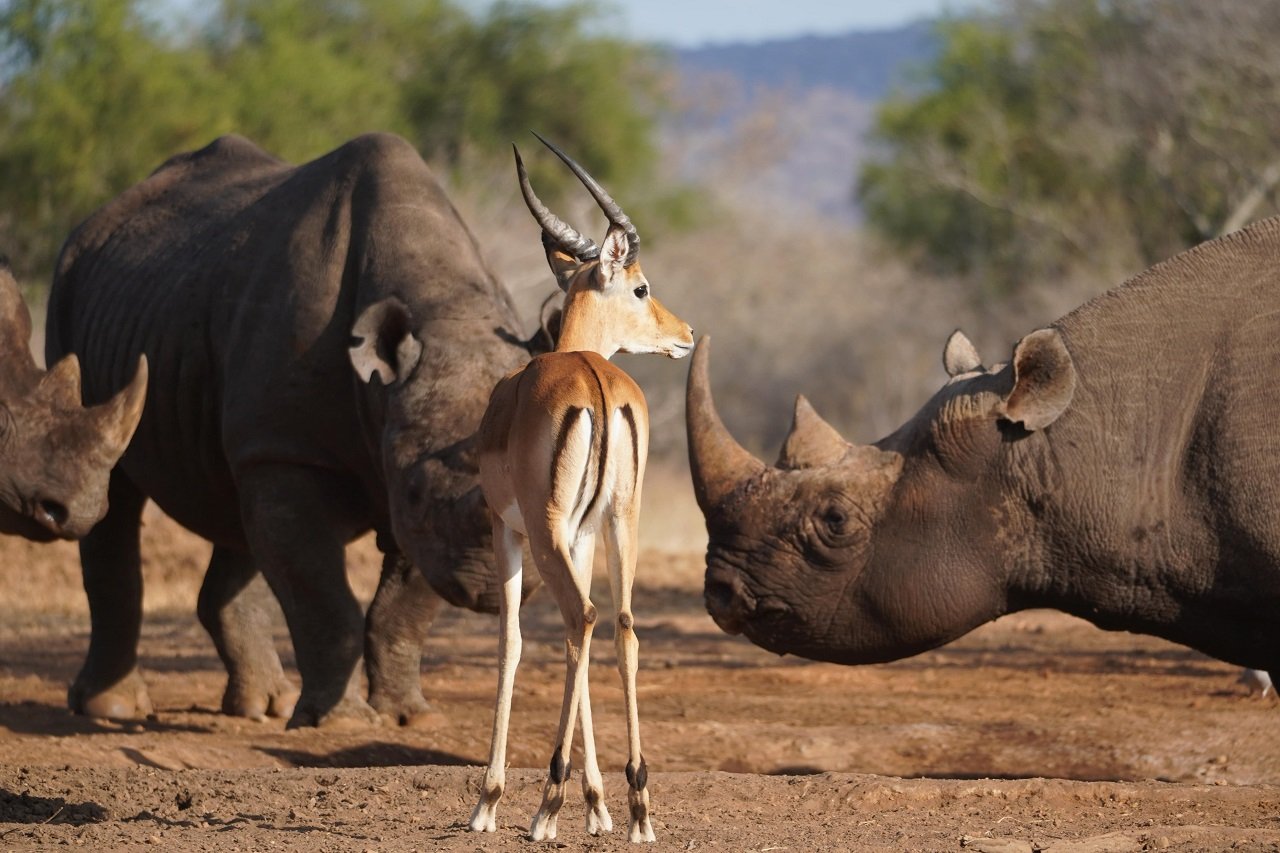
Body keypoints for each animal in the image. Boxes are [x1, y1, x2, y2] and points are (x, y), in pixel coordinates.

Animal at [467, 135, 693, 843]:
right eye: (641, 286)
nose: (686, 335)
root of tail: (597, 380)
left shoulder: (507, 528)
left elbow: (511, 641)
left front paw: (488, 803)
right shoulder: (583, 532)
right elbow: (584, 646)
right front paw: (599, 806)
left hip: (544, 532)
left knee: (580, 617)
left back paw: (545, 805)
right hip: (621, 522)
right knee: (617, 625)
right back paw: (639, 805)